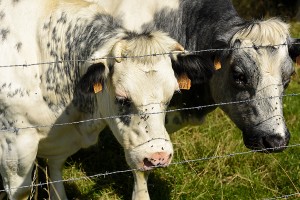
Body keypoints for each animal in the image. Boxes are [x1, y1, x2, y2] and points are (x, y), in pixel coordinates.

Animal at [0, 0, 213, 200]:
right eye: (122, 98)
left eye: (172, 95)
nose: (158, 157)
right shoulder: (16, 146)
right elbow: (22, 191)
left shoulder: (60, 144)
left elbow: (56, 180)